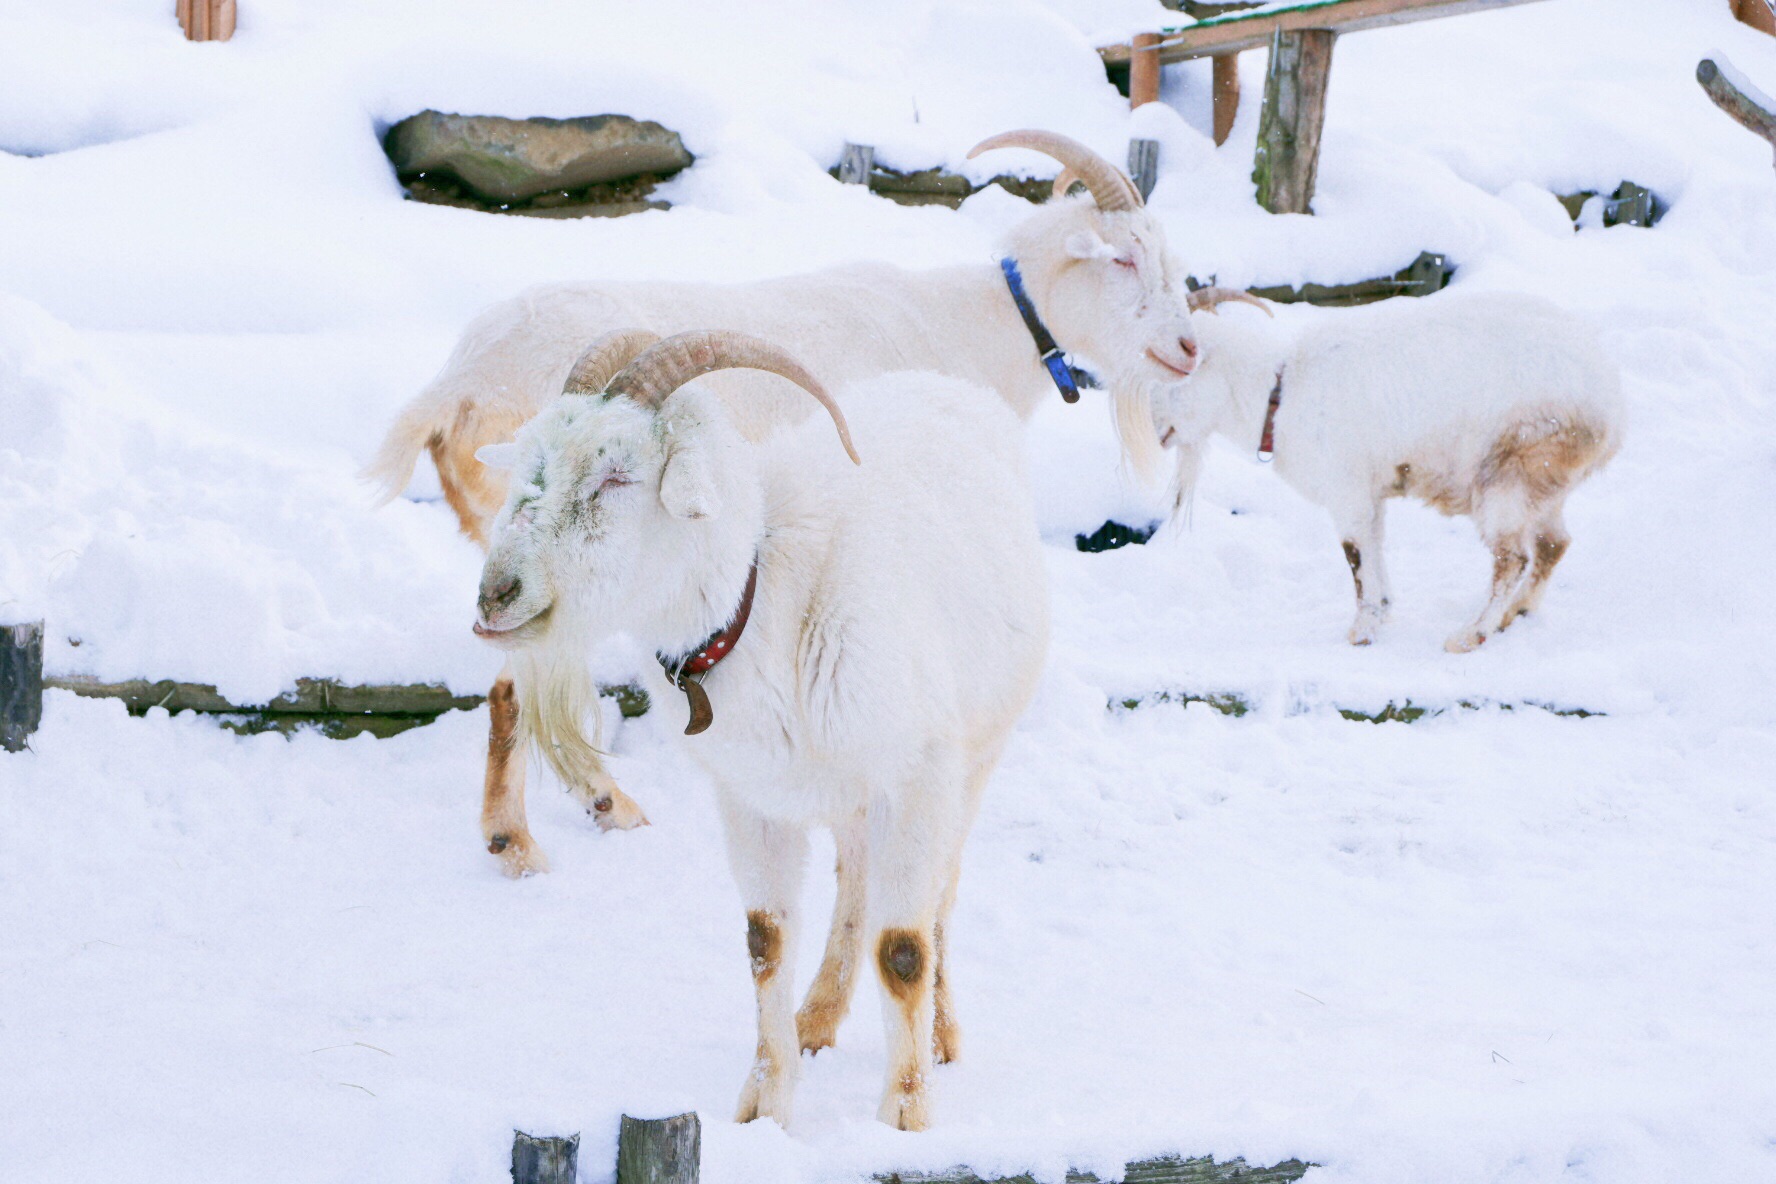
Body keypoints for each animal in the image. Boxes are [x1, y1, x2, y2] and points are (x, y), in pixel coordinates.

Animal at [475, 328, 1051, 1136]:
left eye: (617, 476)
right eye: (531, 461)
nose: (497, 593)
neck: (764, 596)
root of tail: (950, 386)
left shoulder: (919, 776)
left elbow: (904, 949)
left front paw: (904, 1116)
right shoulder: (750, 799)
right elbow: (764, 942)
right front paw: (763, 1109)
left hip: (976, 754)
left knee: (937, 895)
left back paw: (939, 1038)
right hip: (847, 793)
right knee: (856, 882)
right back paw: (818, 1017)